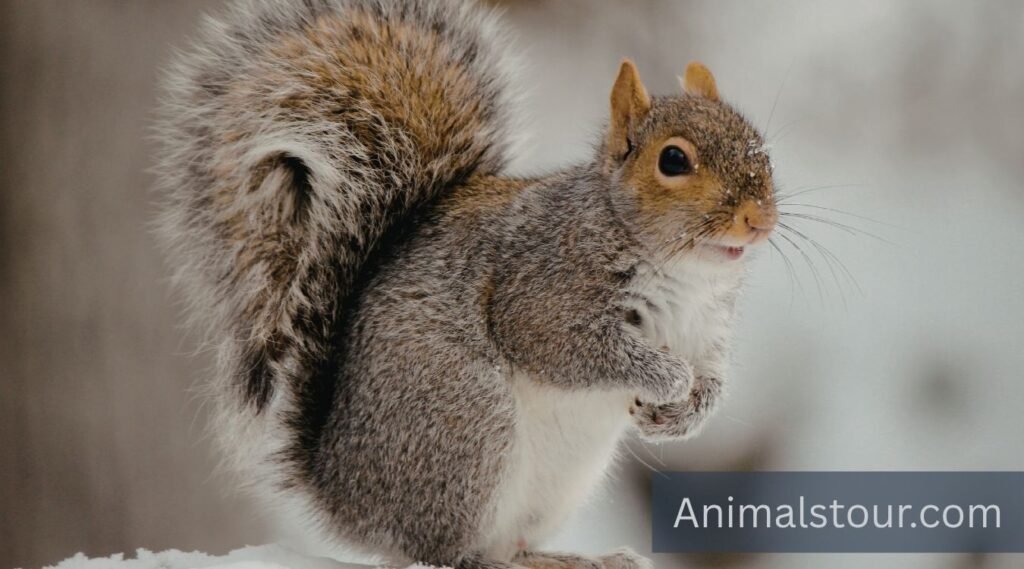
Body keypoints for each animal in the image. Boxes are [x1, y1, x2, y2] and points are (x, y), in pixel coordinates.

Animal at [155, 0, 777, 568]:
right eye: (673, 160)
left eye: (760, 147)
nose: (759, 219)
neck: (683, 271)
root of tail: (344, 494)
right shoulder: (543, 292)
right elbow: (572, 349)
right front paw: (668, 379)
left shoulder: (706, 324)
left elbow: (713, 376)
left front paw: (683, 414)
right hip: (468, 426)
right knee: (445, 551)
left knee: (510, 544)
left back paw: (576, 558)